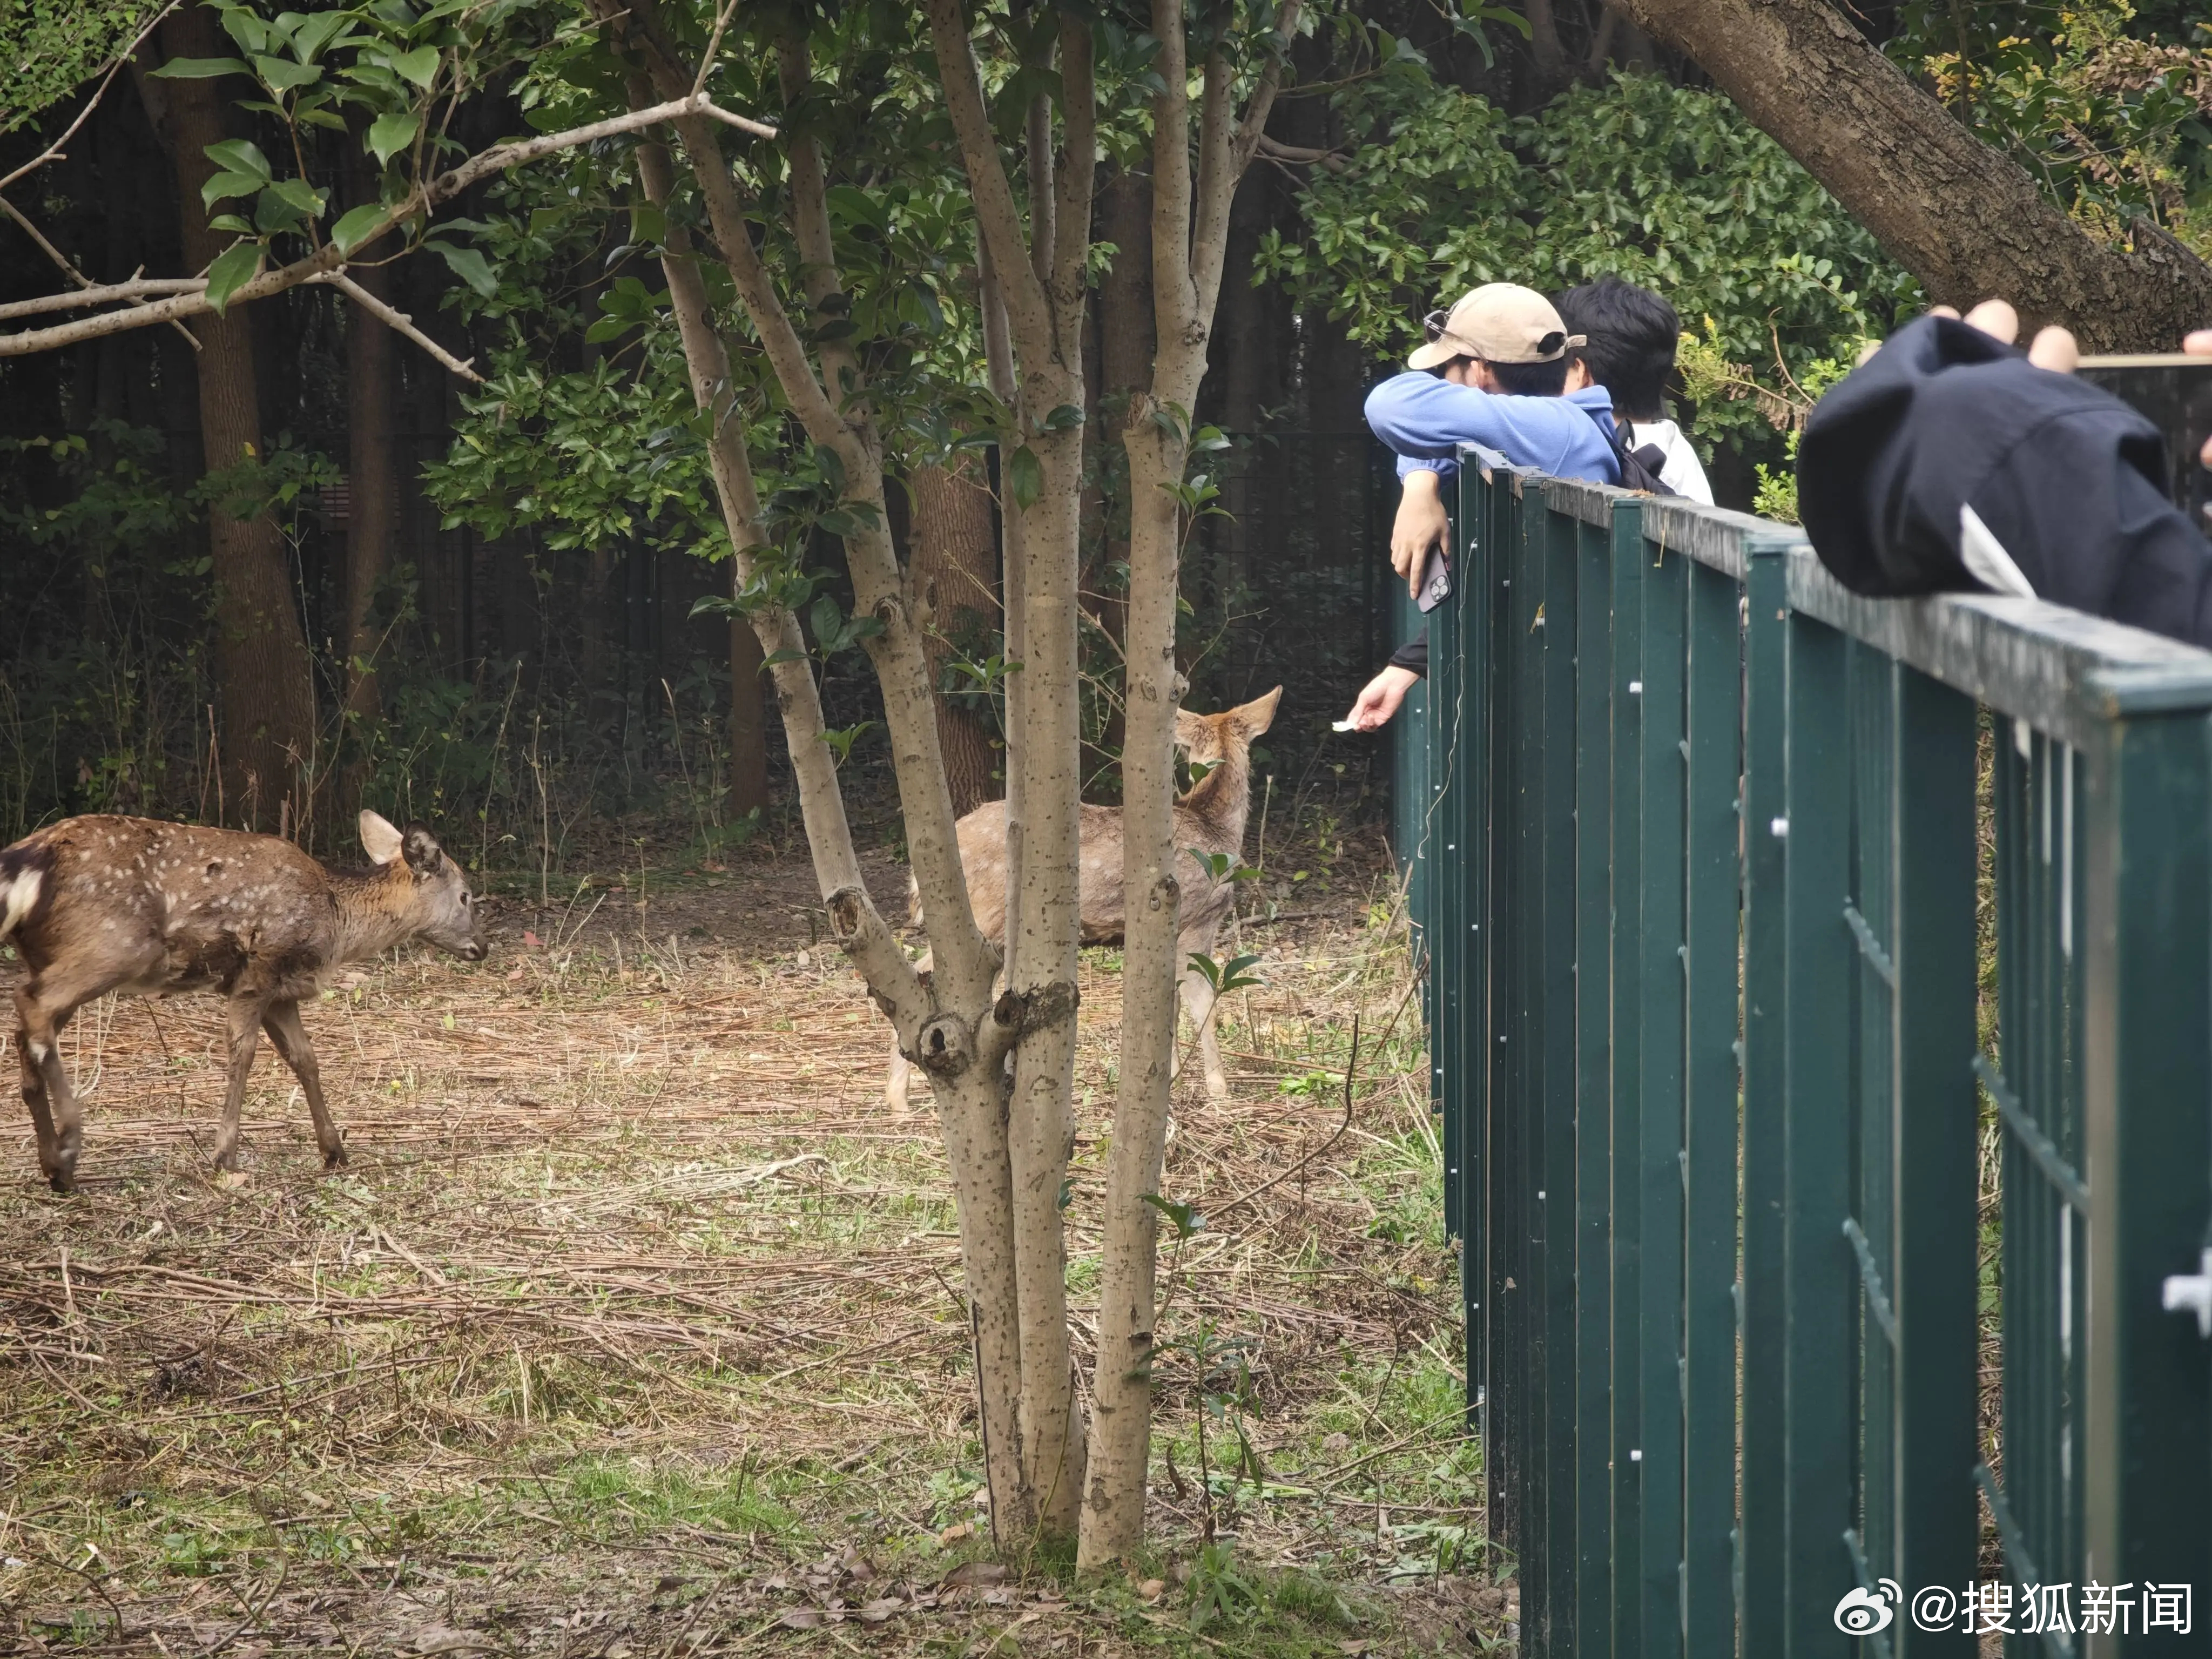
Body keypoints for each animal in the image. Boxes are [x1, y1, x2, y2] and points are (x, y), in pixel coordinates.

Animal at [0, 810, 487, 1185]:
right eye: (465, 896)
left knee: (26, 1029)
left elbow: (306, 1060)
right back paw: (69, 1144)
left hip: (53, 955)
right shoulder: (258, 970)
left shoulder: (282, 993)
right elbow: (244, 1054)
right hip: (114, 945)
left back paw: (55, 1164)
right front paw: (224, 1157)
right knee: (31, 1005)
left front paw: (334, 1151)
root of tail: (27, 860)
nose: (481, 947)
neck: (335, 919)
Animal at [880, 690, 1283, 1119]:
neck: (1215, 828)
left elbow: (1169, 1003)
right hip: (987, 917)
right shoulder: (1196, 921)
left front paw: (1170, 1079)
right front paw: (1220, 1091)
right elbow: (1204, 1004)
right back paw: (899, 1096)